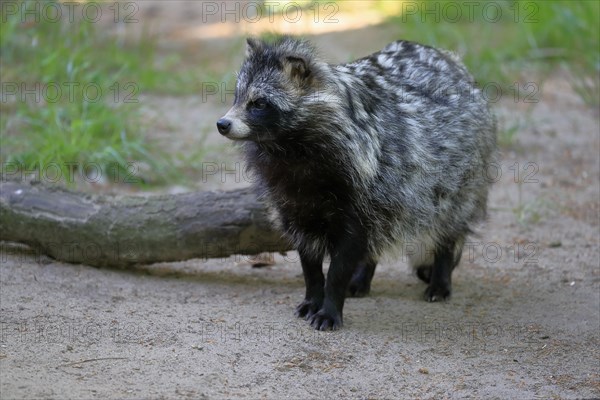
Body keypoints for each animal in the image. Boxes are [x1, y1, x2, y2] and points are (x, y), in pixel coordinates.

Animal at [216, 36, 496, 332]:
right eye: (237, 97)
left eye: (259, 103)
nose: (223, 124)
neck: (290, 148)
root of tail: (450, 60)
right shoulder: (290, 199)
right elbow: (308, 257)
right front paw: (314, 295)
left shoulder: (362, 181)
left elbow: (344, 257)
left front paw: (330, 304)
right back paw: (364, 275)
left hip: (457, 173)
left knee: (448, 221)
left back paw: (440, 275)